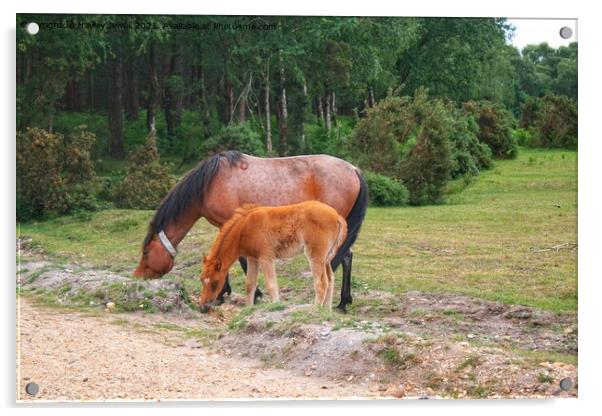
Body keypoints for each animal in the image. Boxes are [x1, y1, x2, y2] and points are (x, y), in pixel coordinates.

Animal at [198, 202, 344, 312]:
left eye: (215, 282)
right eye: (201, 280)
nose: (203, 307)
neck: (244, 228)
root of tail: (337, 216)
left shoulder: (266, 257)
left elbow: (271, 285)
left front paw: (275, 306)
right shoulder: (252, 259)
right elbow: (250, 284)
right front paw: (248, 309)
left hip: (315, 256)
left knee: (321, 283)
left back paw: (315, 309)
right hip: (326, 258)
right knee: (331, 280)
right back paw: (326, 312)